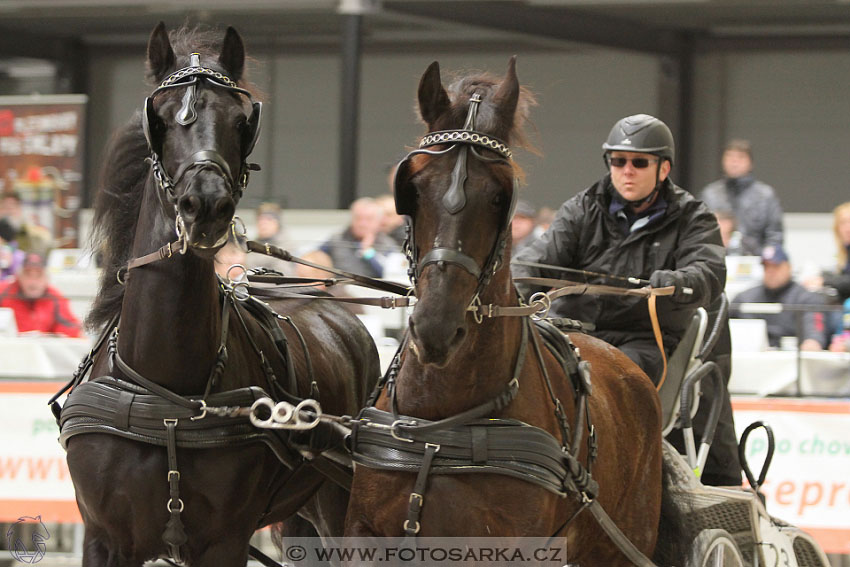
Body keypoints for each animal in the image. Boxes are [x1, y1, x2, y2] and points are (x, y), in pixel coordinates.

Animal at [59, 23, 378, 567]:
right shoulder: (104, 539)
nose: (205, 204)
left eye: (240, 120)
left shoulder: (224, 540)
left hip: (340, 504)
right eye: (161, 118)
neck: (168, 393)